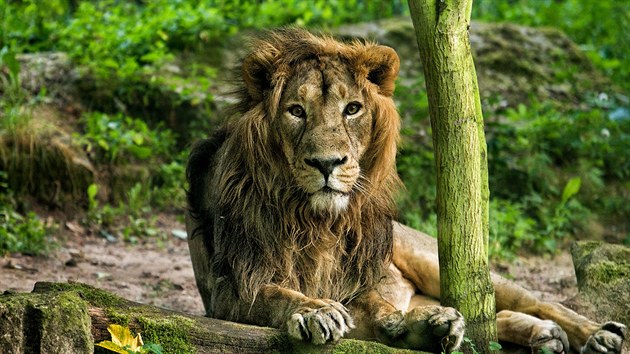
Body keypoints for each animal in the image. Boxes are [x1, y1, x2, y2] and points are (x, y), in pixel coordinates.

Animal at [186, 29, 628, 352]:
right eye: (296, 110)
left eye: (352, 109)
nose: (328, 164)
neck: (315, 220)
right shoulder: (230, 288)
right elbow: (278, 296)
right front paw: (317, 311)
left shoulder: (360, 282)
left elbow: (381, 312)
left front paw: (423, 328)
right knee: (490, 318)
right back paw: (545, 335)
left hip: (430, 256)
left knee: (529, 300)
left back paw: (598, 336)